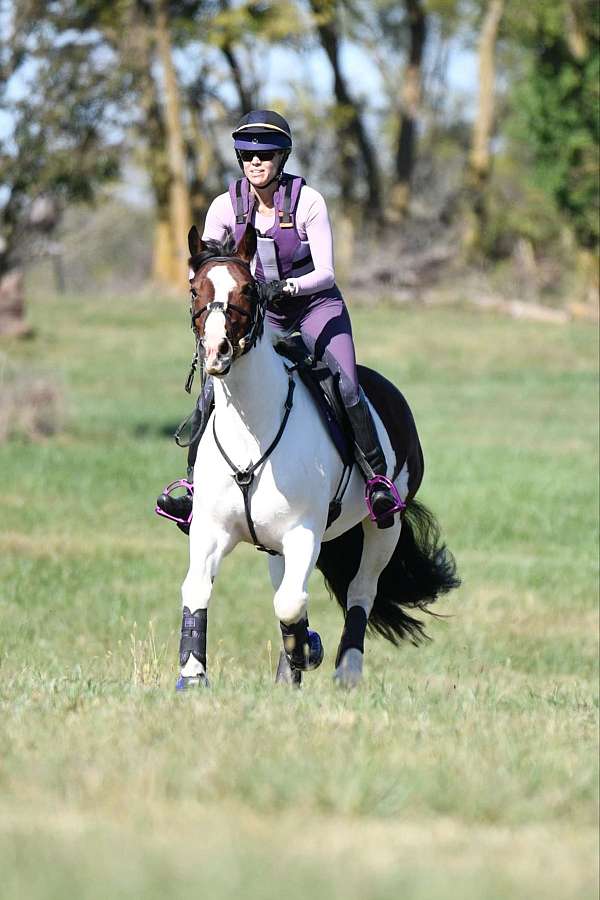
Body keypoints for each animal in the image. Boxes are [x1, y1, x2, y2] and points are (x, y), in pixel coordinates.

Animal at [176, 225, 458, 688]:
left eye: (248, 289)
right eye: (195, 289)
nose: (217, 351)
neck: (252, 430)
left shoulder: (303, 531)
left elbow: (291, 603)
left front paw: (306, 652)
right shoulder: (211, 529)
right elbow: (198, 590)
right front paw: (193, 675)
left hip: (384, 524)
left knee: (360, 591)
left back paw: (346, 671)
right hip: (275, 545)